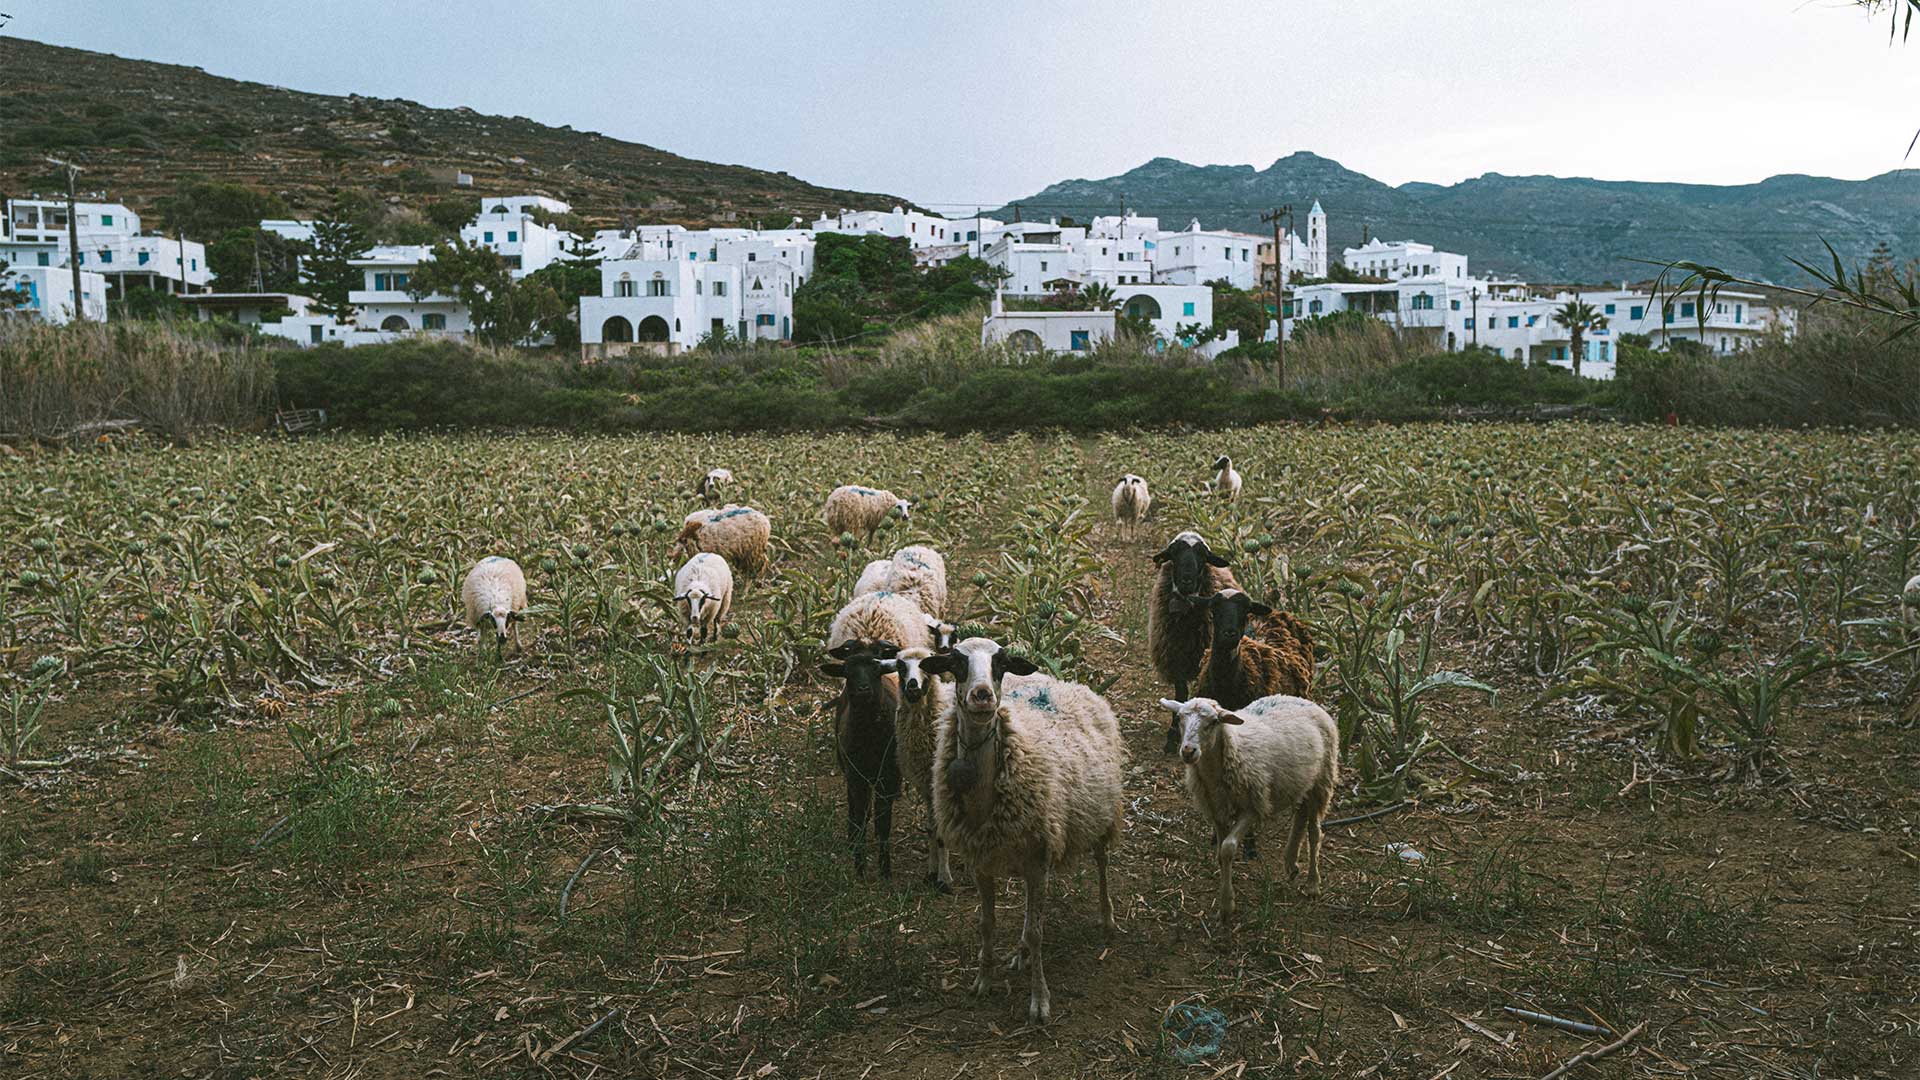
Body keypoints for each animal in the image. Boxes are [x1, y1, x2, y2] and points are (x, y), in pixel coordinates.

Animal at [929, 634, 1121, 1022]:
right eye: (955, 662)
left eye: (1001, 663)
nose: (982, 695)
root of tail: (1068, 682)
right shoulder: (982, 861)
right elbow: (987, 924)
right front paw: (982, 982)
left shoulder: (1037, 861)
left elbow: (1036, 932)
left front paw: (1039, 1001)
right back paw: (1020, 955)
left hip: (1099, 815)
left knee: (1102, 863)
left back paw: (1107, 918)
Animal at [1152, 687, 1336, 914]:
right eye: (1178, 718)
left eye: (1213, 722)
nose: (1188, 751)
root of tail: (1306, 701)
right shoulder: (1217, 810)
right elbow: (1220, 853)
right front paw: (1225, 898)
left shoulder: (1252, 806)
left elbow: (1228, 848)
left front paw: (1227, 905)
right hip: (1301, 782)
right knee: (1300, 816)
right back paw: (1291, 863)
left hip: (1322, 780)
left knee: (1315, 832)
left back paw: (1312, 884)